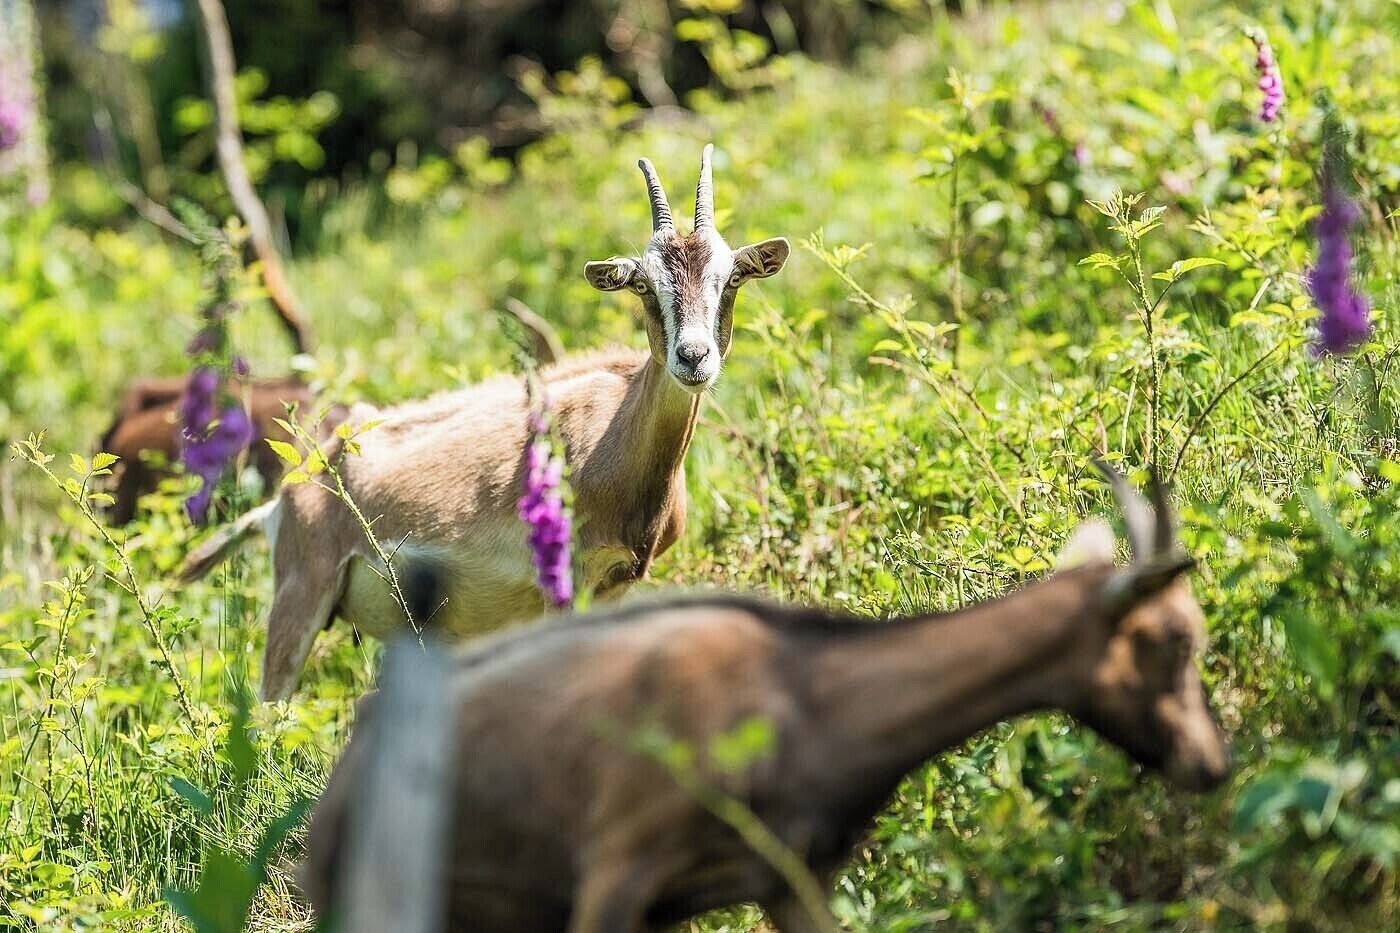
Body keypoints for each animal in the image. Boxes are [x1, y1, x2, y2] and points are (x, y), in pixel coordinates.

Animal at [177, 146, 791, 701]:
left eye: (731, 278)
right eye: (642, 283)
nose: (693, 357)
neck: (615, 434)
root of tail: (289, 494)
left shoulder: (616, 585)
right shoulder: (562, 583)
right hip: (301, 595)